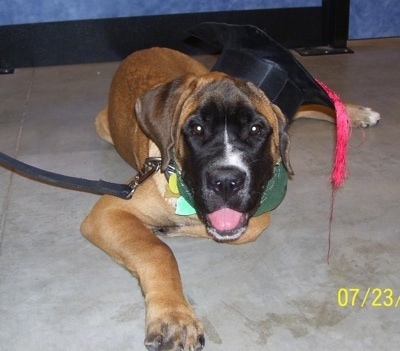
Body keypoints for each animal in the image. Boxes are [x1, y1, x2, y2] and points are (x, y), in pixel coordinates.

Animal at [80, 47, 378, 351]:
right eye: (197, 129)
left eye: (256, 130)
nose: (225, 182)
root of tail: (146, 50)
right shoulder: (109, 210)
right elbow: (157, 250)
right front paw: (174, 318)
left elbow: (246, 226)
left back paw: (354, 113)